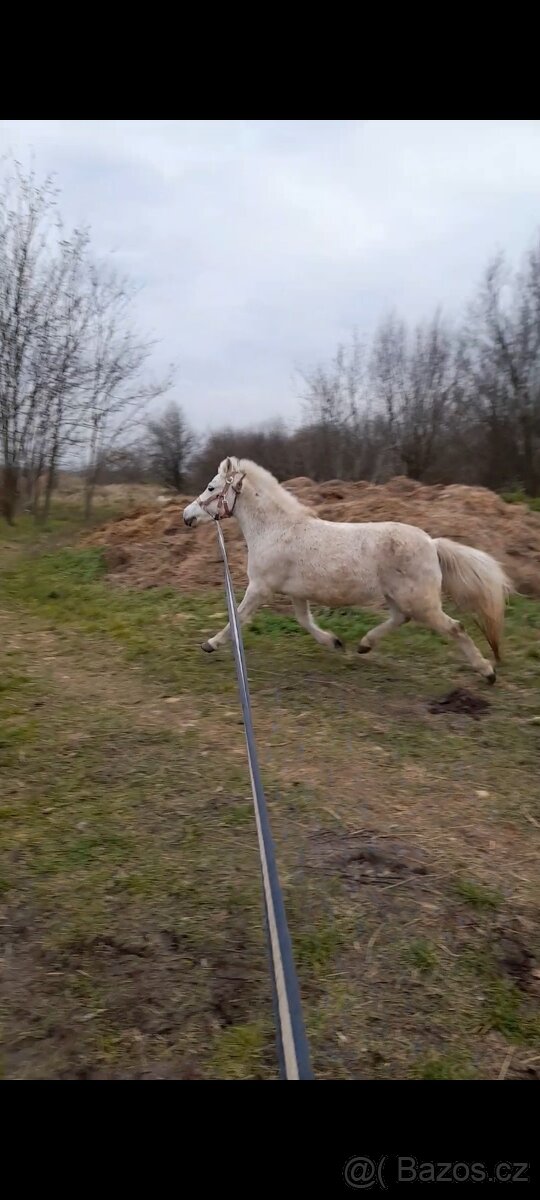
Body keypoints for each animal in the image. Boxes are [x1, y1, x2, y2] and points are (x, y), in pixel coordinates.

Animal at [183, 457, 512, 683]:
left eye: (211, 487)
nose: (187, 516)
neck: (277, 530)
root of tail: (432, 543)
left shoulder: (261, 588)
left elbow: (238, 617)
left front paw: (210, 644)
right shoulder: (295, 592)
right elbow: (304, 621)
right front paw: (335, 642)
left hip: (421, 602)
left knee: (455, 628)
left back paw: (487, 672)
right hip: (399, 597)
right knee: (400, 619)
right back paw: (364, 645)